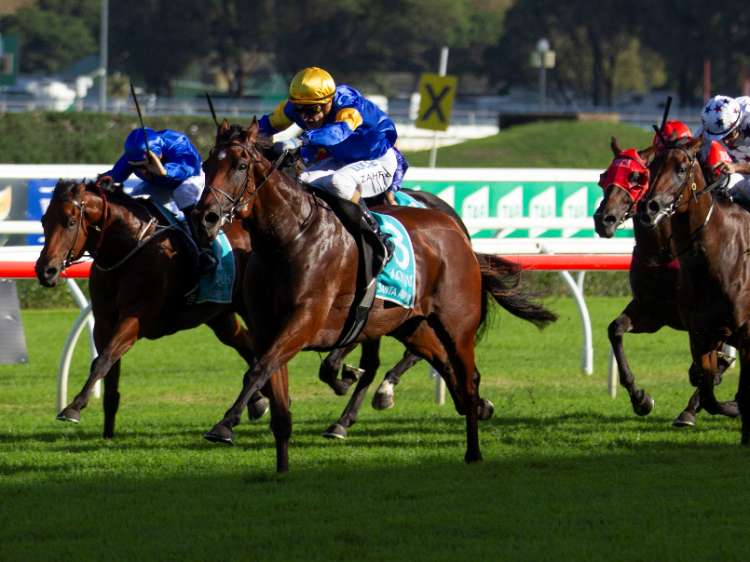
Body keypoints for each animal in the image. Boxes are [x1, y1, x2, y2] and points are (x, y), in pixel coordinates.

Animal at [34, 178, 286, 438]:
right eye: (44, 220)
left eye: (71, 222)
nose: (46, 270)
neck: (127, 250)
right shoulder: (104, 322)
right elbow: (108, 369)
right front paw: (107, 432)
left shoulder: (136, 317)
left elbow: (104, 359)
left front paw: (73, 408)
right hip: (218, 315)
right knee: (245, 344)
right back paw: (258, 401)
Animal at [192, 119, 558, 472]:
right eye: (207, 164)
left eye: (241, 165)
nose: (205, 218)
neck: (287, 238)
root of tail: (457, 231)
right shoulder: (269, 328)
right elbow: (274, 391)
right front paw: (281, 469)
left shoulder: (304, 322)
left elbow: (257, 370)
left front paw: (225, 424)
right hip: (410, 324)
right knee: (440, 362)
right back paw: (469, 408)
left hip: (457, 324)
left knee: (468, 378)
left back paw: (473, 448)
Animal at [593, 139, 735, 427]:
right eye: (604, 177)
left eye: (636, 177)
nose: (604, 219)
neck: (663, 254)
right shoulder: (651, 311)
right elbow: (615, 330)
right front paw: (640, 398)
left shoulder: (706, 318)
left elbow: (703, 366)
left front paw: (692, 407)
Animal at [637, 136, 746, 444]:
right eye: (651, 166)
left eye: (682, 168)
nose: (649, 207)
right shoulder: (701, 334)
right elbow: (708, 392)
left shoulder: (744, 332)